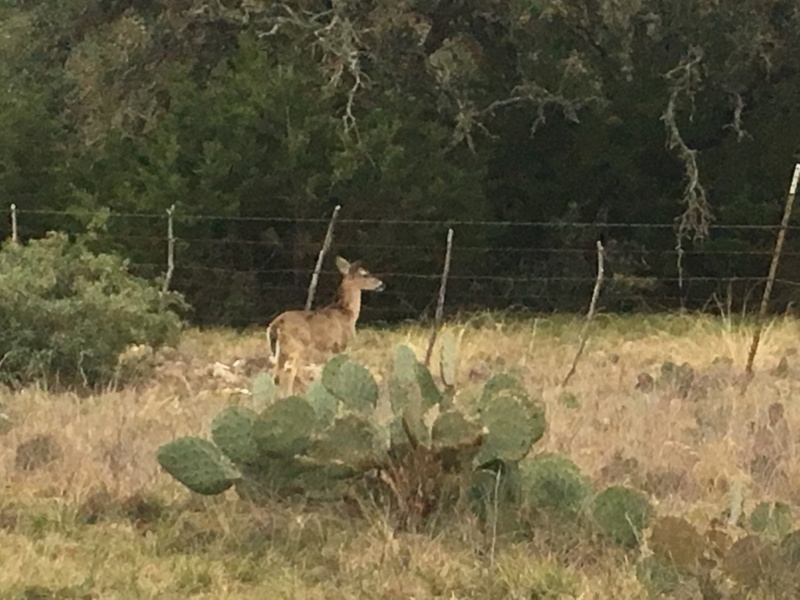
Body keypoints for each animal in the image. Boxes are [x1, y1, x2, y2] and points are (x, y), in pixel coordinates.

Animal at [266, 256, 385, 395]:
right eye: (365, 274)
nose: (382, 284)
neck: (347, 314)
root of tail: (275, 326)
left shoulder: (329, 350)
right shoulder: (341, 344)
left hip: (282, 352)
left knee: (276, 375)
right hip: (299, 347)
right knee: (290, 373)